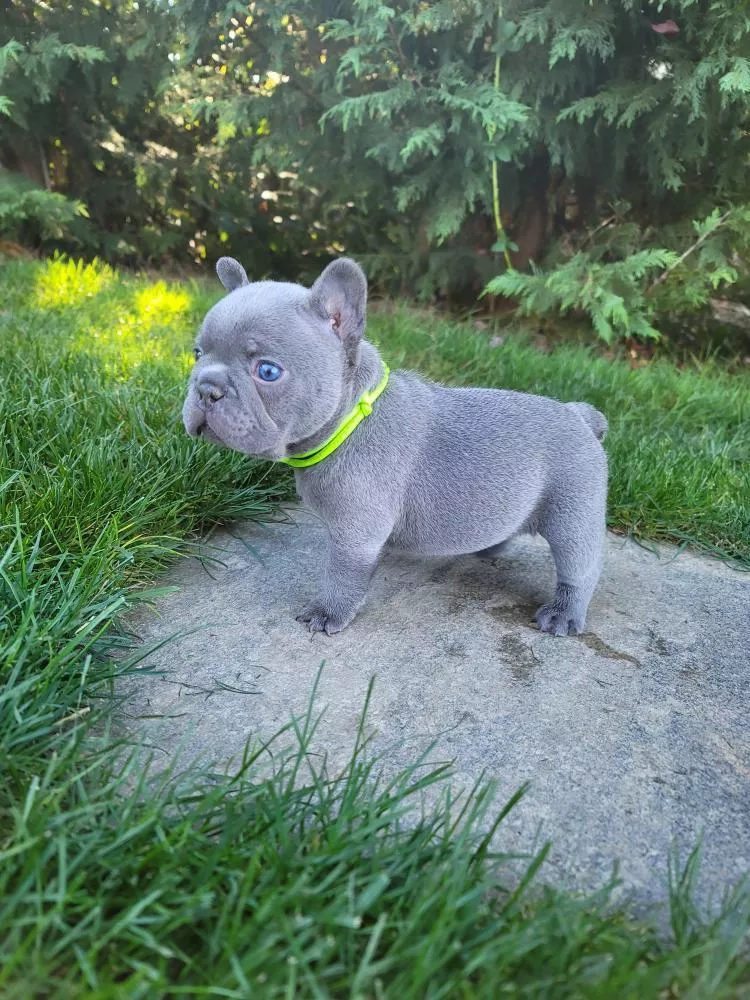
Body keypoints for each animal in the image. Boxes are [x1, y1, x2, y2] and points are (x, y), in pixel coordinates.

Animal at [183, 256, 608, 636]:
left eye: (268, 371)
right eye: (197, 354)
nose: (206, 387)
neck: (351, 418)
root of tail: (579, 415)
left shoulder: (355, 536)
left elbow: (342, 577)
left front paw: (328, 613)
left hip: (573, 514)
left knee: (580, 568)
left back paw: (563, 614)